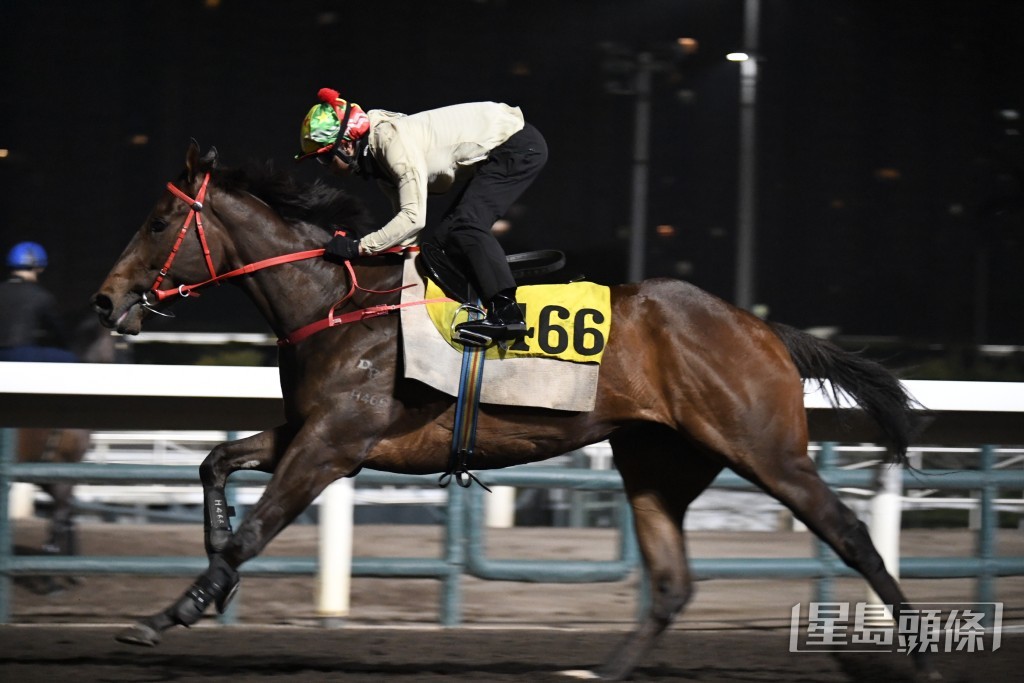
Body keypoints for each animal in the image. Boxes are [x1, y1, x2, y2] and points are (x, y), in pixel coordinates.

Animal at [90, 141, 937, 679]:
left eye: (159, 222)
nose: (105, 299)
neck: (336, 302)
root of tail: (761, 327)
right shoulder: (309, 430)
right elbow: (214, 461)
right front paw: (210, 568)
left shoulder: (334, 442)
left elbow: (256, 531)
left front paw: (178, 607)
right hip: (657, 462)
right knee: (671, 582)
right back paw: (600, 671)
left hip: (764, 448)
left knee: (852, 533)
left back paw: (922, 651)